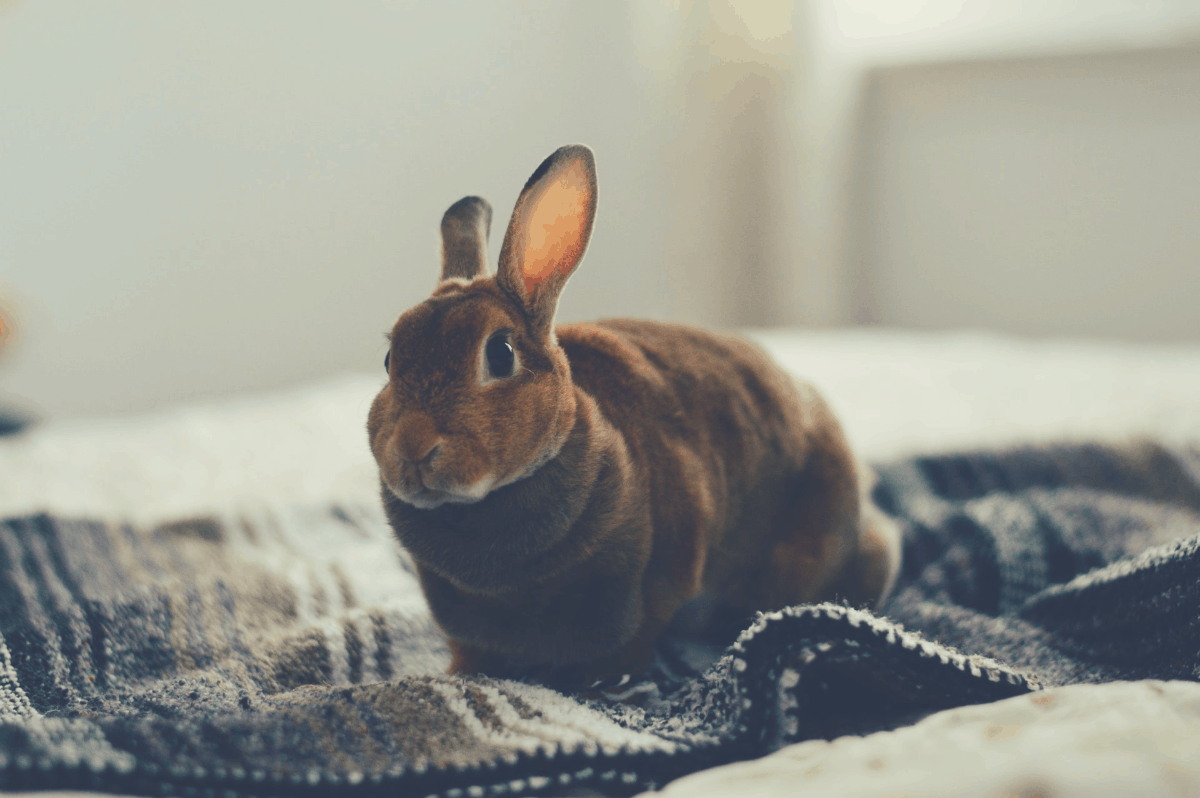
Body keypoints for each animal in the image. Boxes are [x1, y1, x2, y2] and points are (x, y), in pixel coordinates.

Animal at [364, 143, 902, 686]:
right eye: (389, 361)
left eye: (500, 354)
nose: (412, 447)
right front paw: (458, 675)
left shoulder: (660, 574)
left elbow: (635, 637)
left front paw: (604, 683)